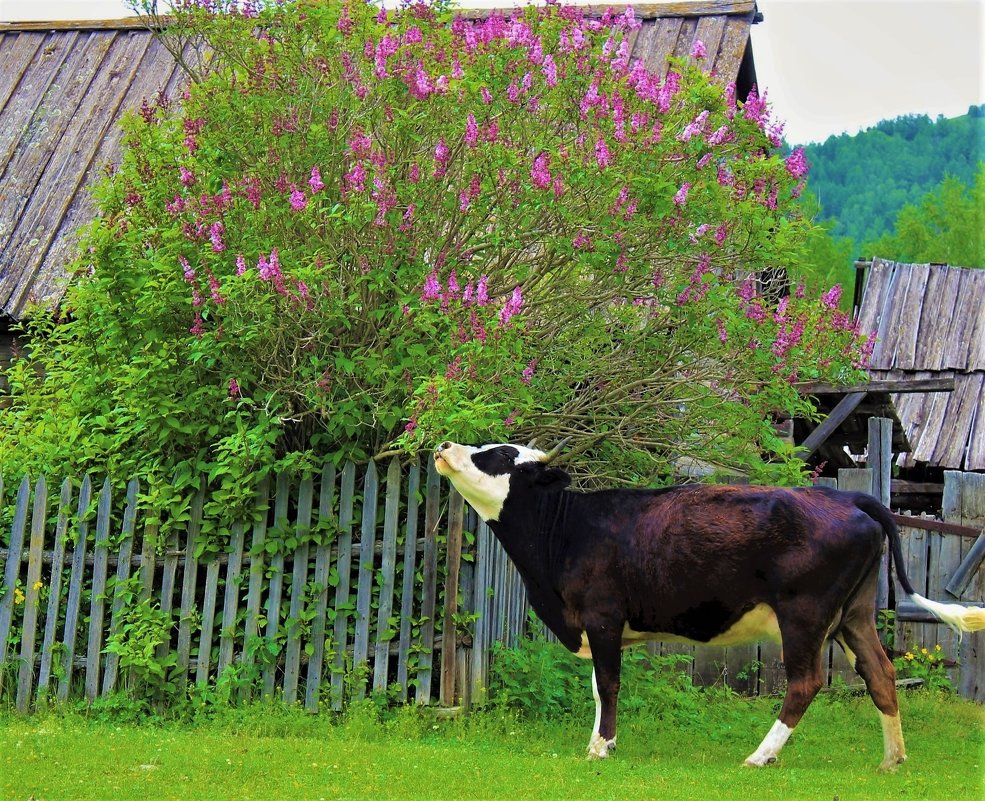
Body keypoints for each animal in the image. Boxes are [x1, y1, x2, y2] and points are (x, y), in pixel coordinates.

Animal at [432, 440, 984, 772]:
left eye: (500, 457)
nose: (444, 446)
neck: (566, 531)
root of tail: (849, 499)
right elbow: (596, 688)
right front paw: (602, 742)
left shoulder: (603, 617)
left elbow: (608, 685)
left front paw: (599, 748)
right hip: (854, 613)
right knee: (881, 673)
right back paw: (892, 759)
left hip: (804, 613)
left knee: (806, 682)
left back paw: (760, 756)